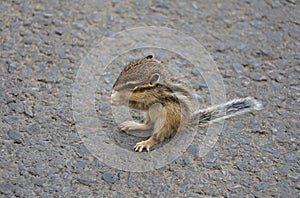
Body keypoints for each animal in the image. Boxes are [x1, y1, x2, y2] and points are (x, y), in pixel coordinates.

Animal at [110, 55, 262, 152]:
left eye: (131, 86)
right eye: (124, 69)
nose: (114, 87)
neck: (156, 87)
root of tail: (184, 122)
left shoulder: (155, 99)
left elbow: (138, 104)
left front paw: (117, 99)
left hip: (165, 121)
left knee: (157, 136)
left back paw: (146, 142)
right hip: (151, 116)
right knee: (147, 125)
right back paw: (132, 125)